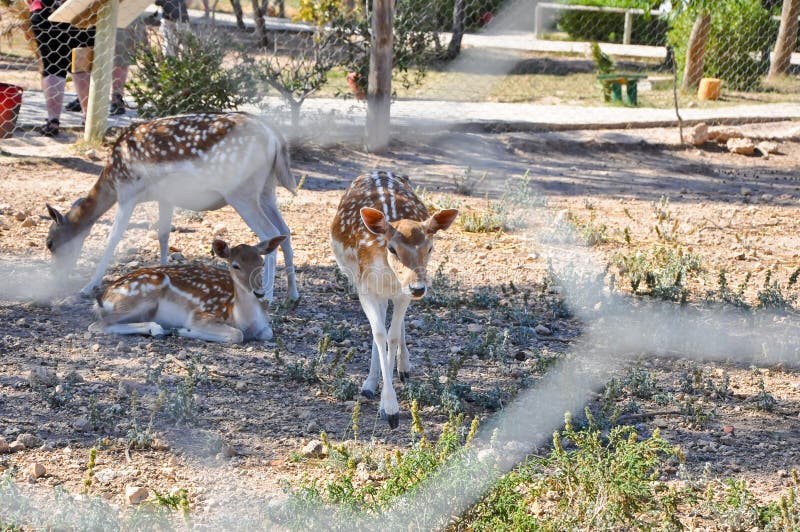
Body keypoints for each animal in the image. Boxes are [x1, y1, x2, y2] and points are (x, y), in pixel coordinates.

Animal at [44, 111, 300, 304]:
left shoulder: (127, 193)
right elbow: (163, 234)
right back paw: (292, 295)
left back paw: (268, 296)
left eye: (50, 243)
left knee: (269, 234)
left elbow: (114, 237)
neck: (111, 179)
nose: (55, 277)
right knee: (285, 231)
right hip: (267, 189)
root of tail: (275, 138)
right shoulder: (165, 198)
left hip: (241, 192)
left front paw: (88, 286)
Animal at [91, 236, 284, 342]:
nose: (259, 293)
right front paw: (185, 330)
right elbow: (237, 335)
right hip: (138, 297)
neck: (243, 320)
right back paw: (159, 329)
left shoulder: (264, 323)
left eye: (261, 263)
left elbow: (268, 333)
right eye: (235, 265)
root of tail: (104, 298)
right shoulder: (201, 315)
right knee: (98, 325)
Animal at [330, 170, 456, 428]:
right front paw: (389, 408)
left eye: (430, 248)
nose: (418, 288)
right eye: (392, 248)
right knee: (379, 325)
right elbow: (379, 334)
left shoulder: (401, 294)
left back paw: (403, 367)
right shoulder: (365, 288)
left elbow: (393, 336)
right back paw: (370, 384)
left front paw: (385, 406)